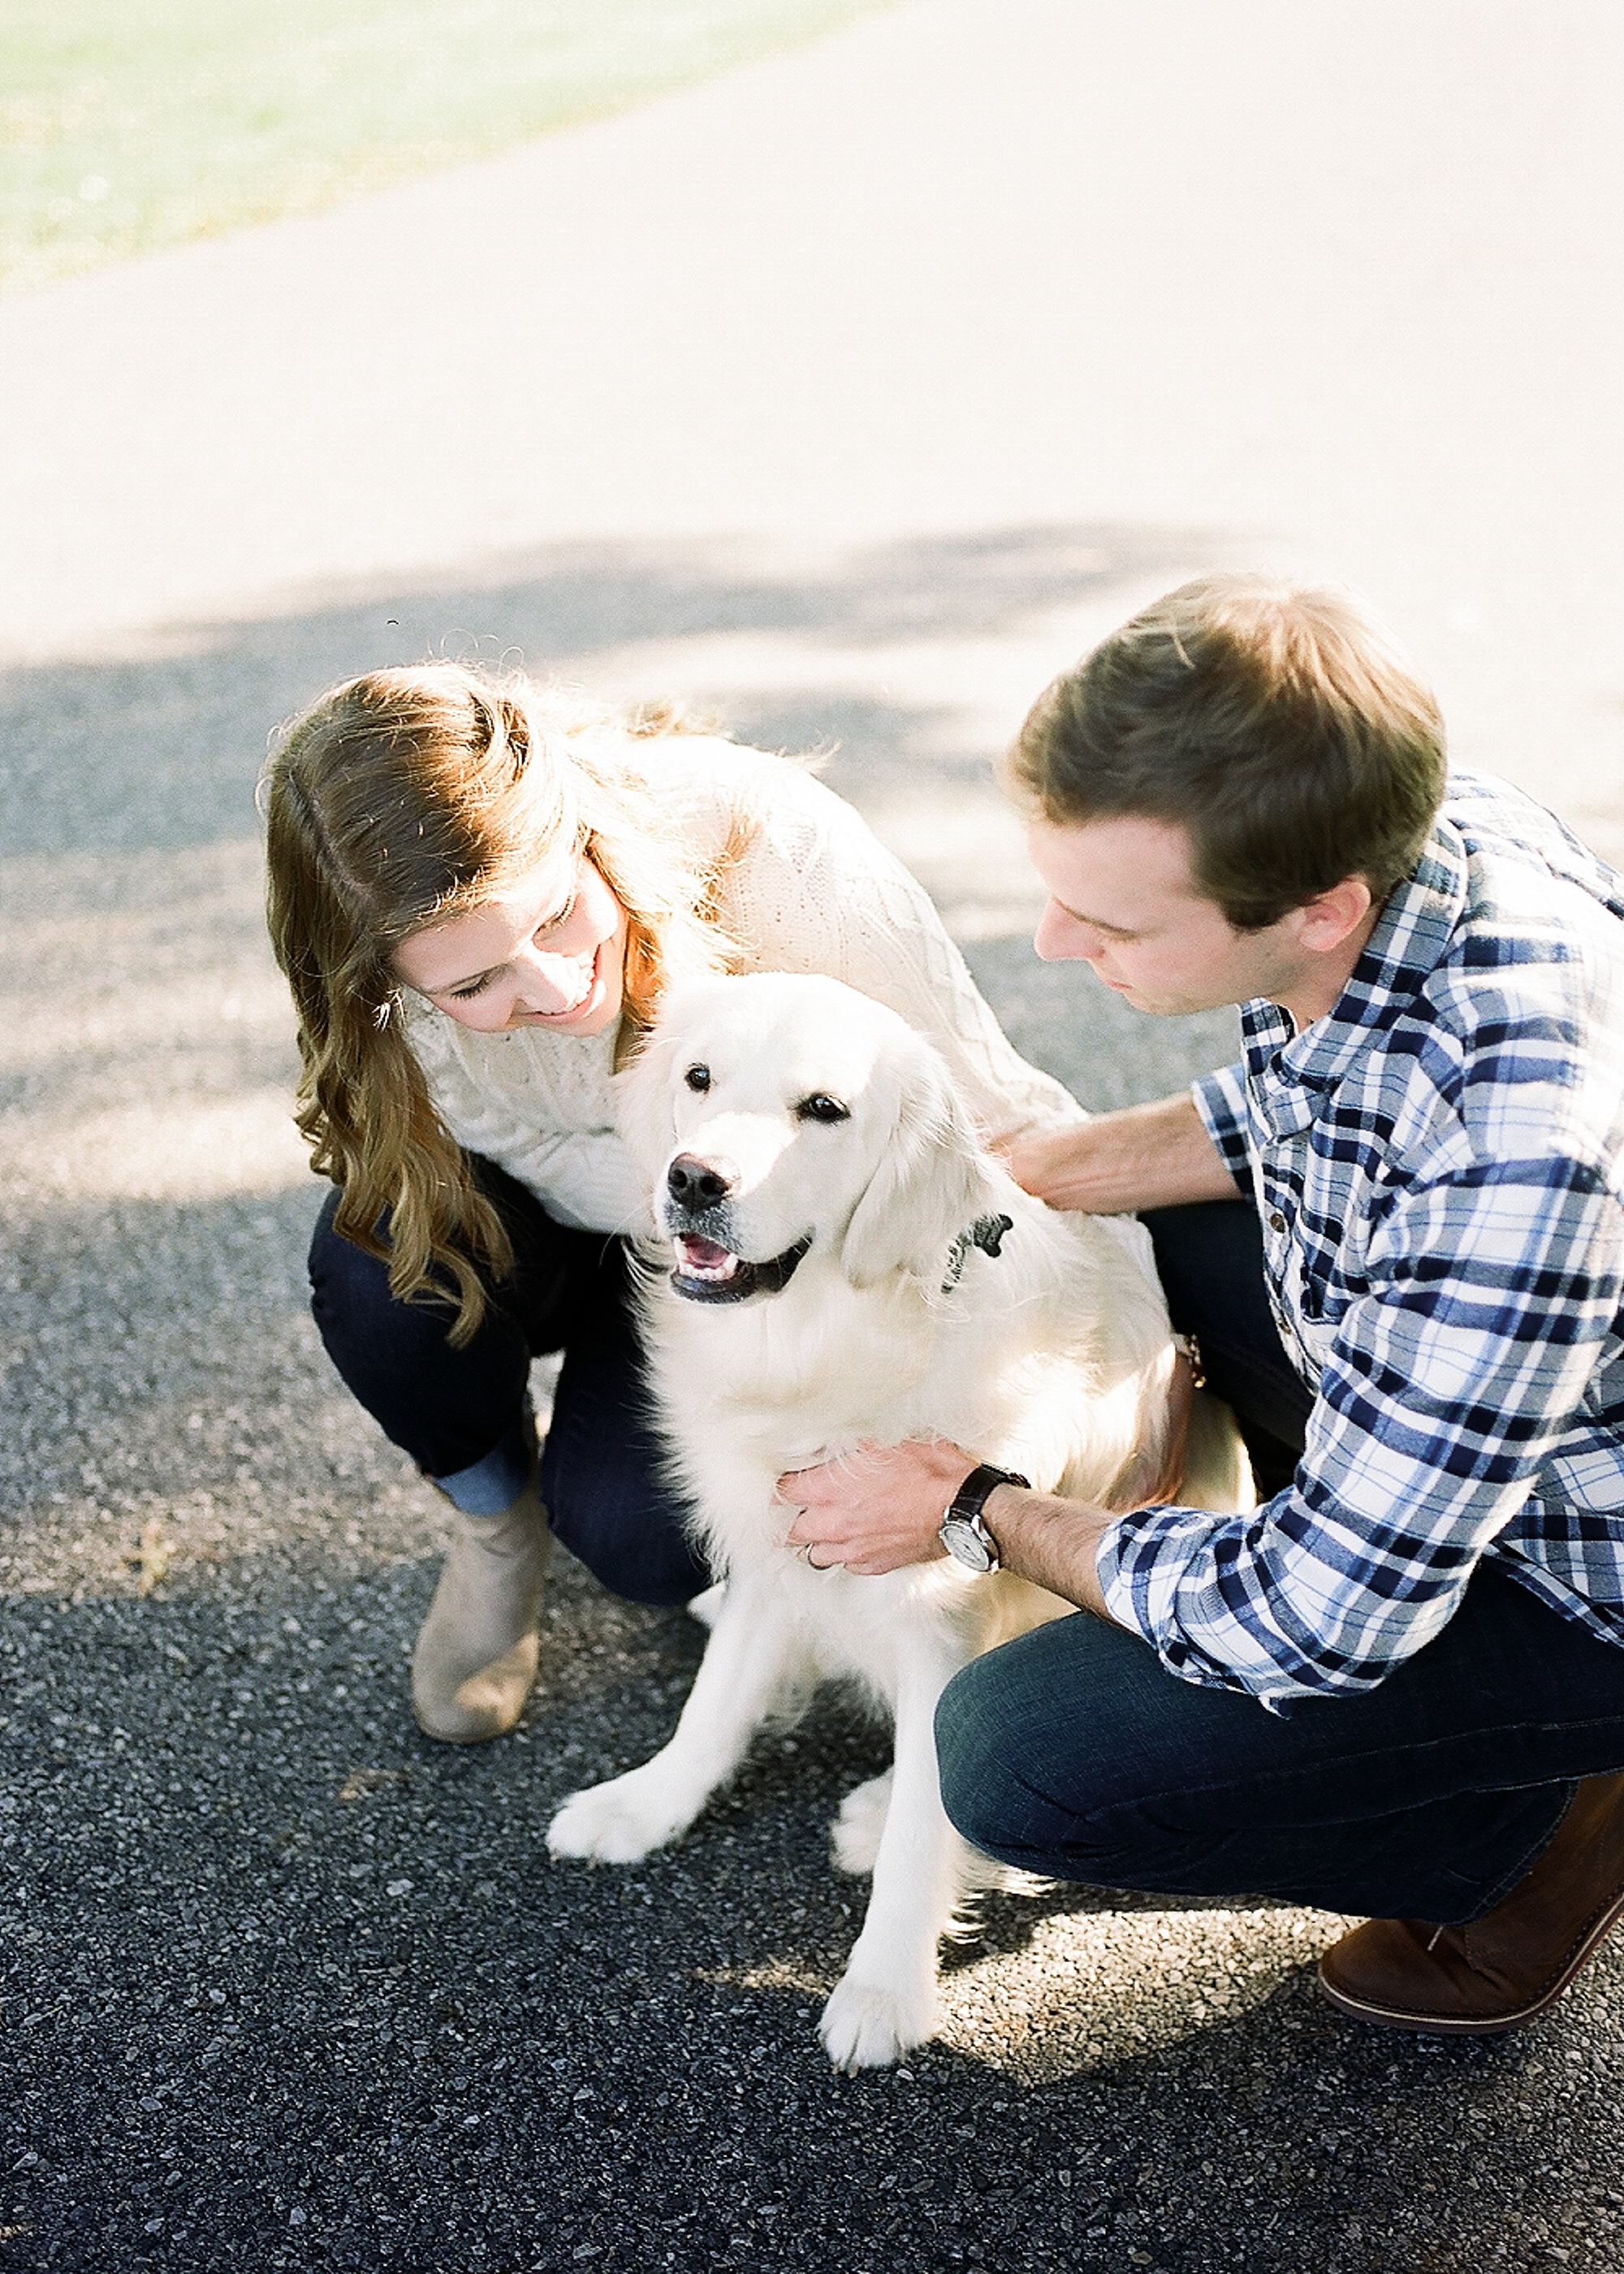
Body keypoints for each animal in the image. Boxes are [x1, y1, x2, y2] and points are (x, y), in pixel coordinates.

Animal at [543, 968, 1237, 2073]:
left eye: (823, 1110)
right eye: (698, 1078)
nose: (693, 1180)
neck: (830, 1343)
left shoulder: (939, 1623)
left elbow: (923, 1820)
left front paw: (882, 1988)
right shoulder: (777, 1545)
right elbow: (713, 1702)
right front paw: (644, 1804)